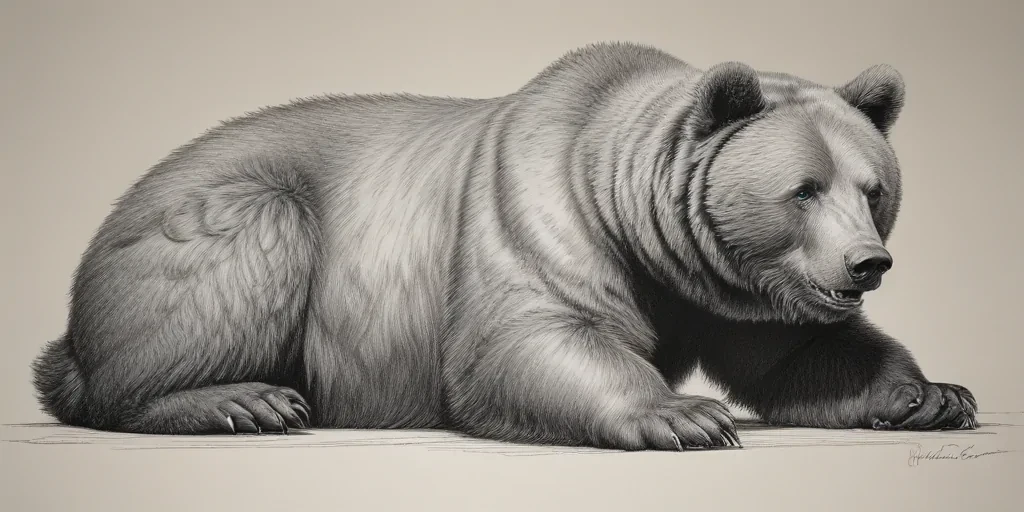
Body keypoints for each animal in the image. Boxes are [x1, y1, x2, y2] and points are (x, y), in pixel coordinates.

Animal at [31, 42, 977, 450]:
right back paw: (241, 401)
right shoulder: (532, 206)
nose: (867, 264)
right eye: (802, 189)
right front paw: (682, 415)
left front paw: (933, 394)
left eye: (872, 188)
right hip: (212, 222)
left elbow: (791, 353)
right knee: (232, 264)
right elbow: (524, 341)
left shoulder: (717, 285)